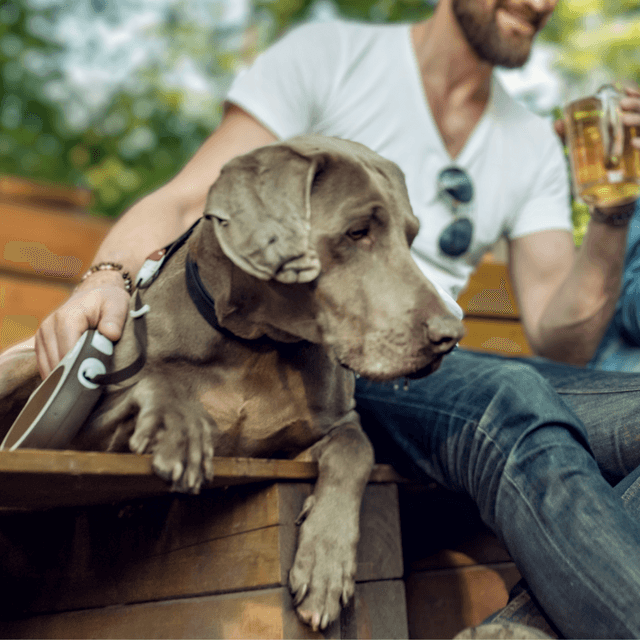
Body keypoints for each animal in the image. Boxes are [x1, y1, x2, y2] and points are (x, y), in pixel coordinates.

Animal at [0, 135, 462, 632]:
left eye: (410, 236)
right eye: (357, 232)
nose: (450, 335)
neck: (254, 344)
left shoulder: (301, 443)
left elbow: (356, 448)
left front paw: (325, 566)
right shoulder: (78, 438)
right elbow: (154, 386)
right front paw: (181, 426)